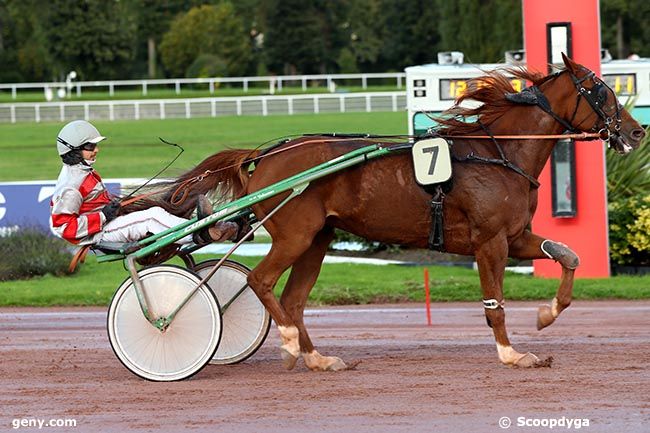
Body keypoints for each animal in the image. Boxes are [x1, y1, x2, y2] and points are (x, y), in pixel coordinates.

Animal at [128, 55, 644, 370]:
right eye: (600, 90)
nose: (637, 132)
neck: (498, 153)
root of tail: (265, 157)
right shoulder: (488, 241)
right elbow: (494, 304)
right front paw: (512, 354)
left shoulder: (514, 236)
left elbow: (568, 255)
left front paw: (545, 315)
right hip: (296, 234)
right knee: (261, 282)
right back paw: (289, 343)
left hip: (318, 240)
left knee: (292, 300)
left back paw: (318, 359)